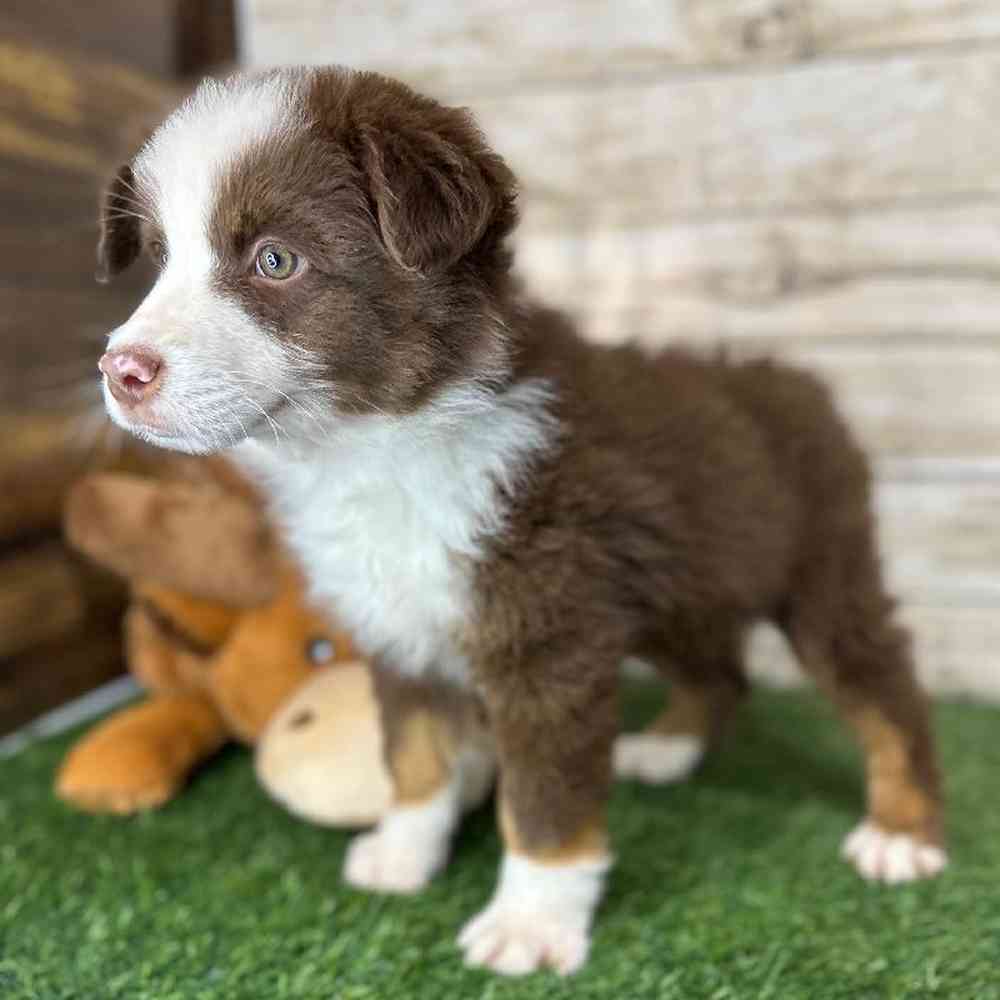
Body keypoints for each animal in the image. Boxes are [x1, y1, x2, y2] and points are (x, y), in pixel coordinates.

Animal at [97, 68, 948, 976]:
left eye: (275, 260)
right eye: (158, 262)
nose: (120, 371)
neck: (377, 444)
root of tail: (800, 383)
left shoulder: (547, 636)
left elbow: (543, 794)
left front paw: (531, 922)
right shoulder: (401, 625)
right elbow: (414, 753)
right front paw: (404, 854)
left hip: (822, 566)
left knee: (884, 683)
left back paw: (903, 831)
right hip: (678, 584)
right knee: (721, 668)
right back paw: (669, 748)